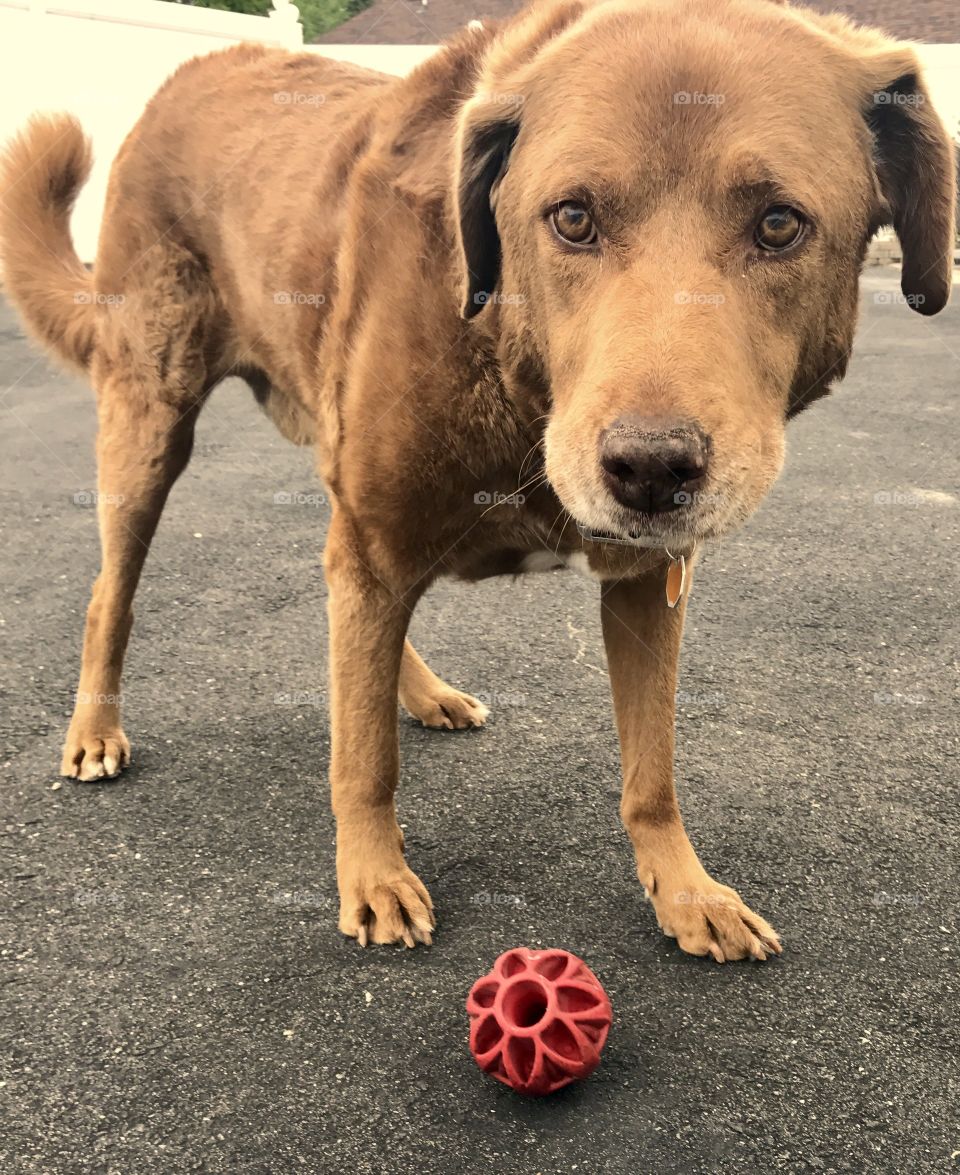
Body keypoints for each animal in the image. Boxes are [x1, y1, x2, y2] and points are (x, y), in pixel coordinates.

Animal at [0, 0, 949, 958]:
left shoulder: (644, 580)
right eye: (572, 218)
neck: (507, 358)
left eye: (780, 225)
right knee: (113, 593)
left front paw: (684, 889)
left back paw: (417, 689)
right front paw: (373, 874)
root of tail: (185, 79)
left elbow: (651, 769)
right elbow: (364, 758)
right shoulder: (378, 540)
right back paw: (95, 729)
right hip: (150, 423)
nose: (651, 470)